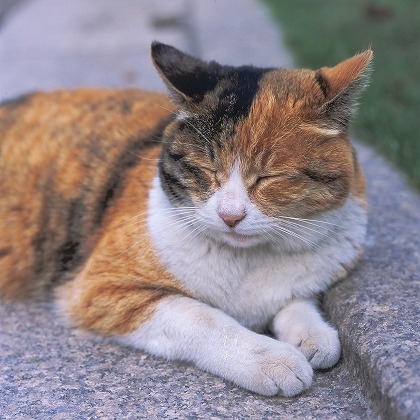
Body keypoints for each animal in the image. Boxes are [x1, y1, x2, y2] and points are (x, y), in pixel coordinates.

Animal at [0, 42, 372, 398]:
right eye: (207, 170)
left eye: (269, 177)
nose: (230, 215)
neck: (247, 263)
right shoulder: (102, 288)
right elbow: (201, 317)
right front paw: (272, 359)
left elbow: (297, 299)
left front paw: (314, 335)